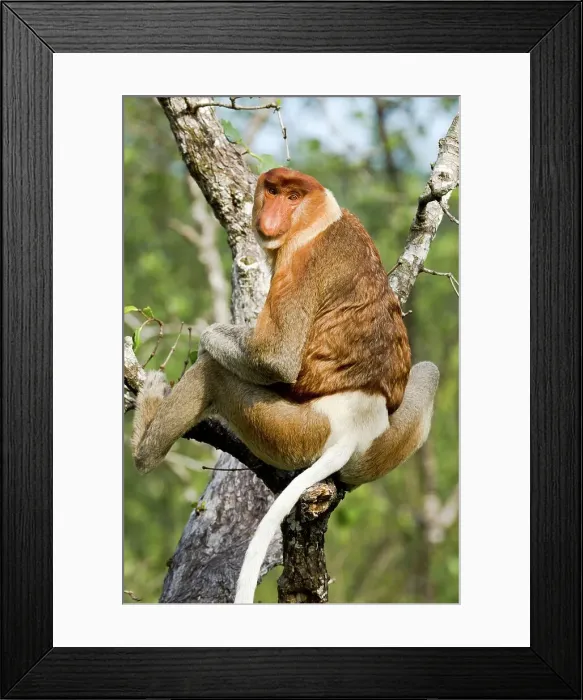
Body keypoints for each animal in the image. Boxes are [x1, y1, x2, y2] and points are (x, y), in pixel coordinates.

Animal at [131, 167, 439, 604]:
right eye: (274, 191)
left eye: (294, 197)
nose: (271, 216)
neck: (320, 218)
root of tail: (355, 424)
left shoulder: (298, 261)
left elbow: (275, 358)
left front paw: (209, 336)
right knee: (429, 370)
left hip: (295, 431)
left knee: (215, 375)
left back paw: (144, 444)